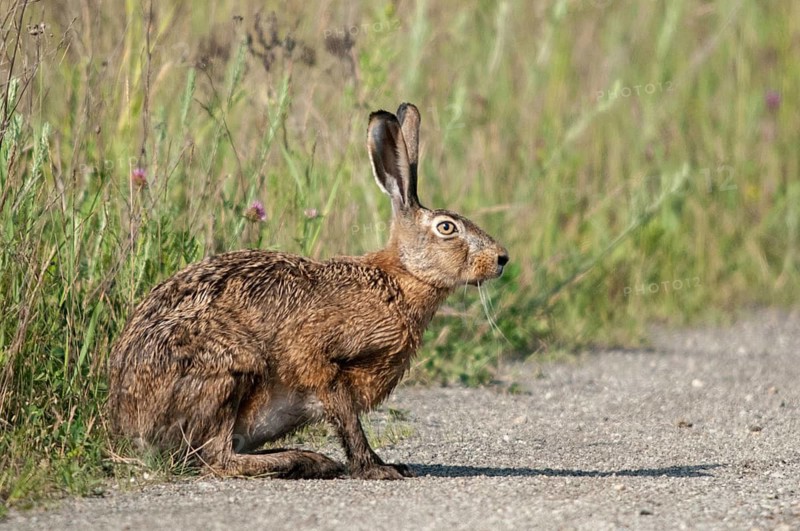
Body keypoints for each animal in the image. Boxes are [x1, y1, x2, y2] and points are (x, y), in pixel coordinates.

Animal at [108, 103, 509, 480]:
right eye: (447, 228)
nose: (502, 259)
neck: (399, 279)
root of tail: (128, 421)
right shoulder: (323, 358)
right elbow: (347, 421)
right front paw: (378, 470)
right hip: (230, 368)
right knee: (215, 458)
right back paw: (304, 460)